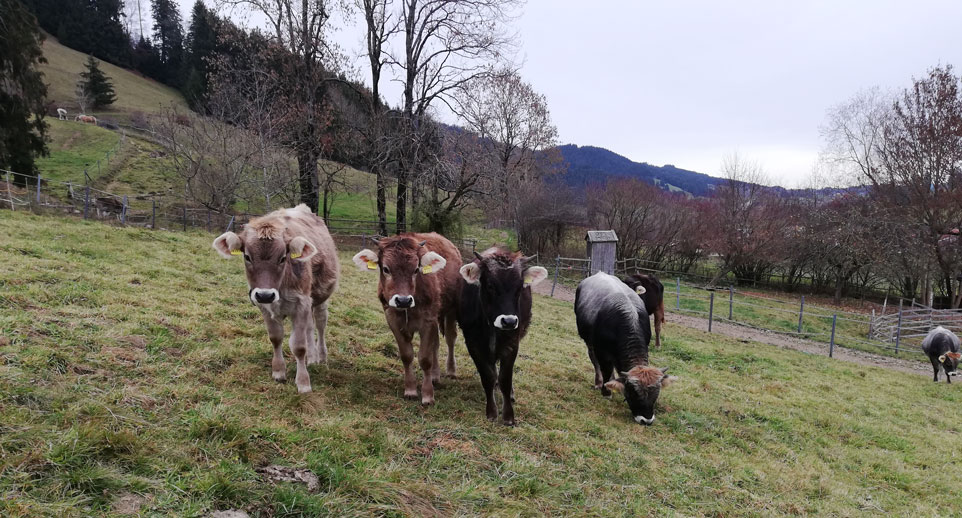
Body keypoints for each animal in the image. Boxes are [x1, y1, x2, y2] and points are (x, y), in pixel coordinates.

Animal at [212, 204, 340, 394]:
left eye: (282, 258)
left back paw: (322, 357)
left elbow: (298, 346)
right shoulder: (265, 306)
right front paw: (279, 371)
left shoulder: (301, 303)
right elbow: (276, 338)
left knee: (320, 324)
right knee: (310, 327)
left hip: (321, 296)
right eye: (247, 256)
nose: (266, 294)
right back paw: (312, 358)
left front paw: (303, 382)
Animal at [352, 234, 462, 408]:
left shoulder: (428, 321)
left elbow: (425, 358)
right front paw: (410, 390)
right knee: (436, 345)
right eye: (386, 269)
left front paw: (427, 395)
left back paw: (450, 371)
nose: (403, 300)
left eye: (416, 269)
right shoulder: (393, 320)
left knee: (450, 339)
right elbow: (407, 356)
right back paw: (435, 376)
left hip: (451, 309)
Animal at [458, 249, 548, 426]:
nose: (509, 321)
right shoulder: (473, 344)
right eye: (490, 285)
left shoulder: (512, 344)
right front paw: (491, 411)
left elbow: (505, 379)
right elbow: (487, 376)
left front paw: (508, 416)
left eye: (520, 287)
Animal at [572, 272, 680, 426]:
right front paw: (606, 392)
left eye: (656, 394)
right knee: (594, 360)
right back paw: (599, 382)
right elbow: (605, 369)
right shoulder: (602, 352)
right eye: (634, 393)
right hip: (589, 341)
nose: (646, 420)